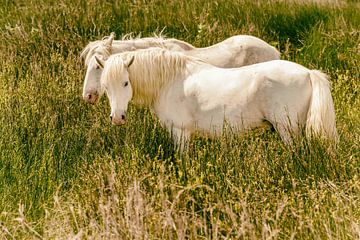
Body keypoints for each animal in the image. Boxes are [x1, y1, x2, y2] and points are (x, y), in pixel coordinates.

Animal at [95, 47, 338, 147]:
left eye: (125, 83)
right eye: (105, 86)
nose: (117, 118)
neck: (171, 80)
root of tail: (308, 73)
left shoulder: (180, 131)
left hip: (287, 129)